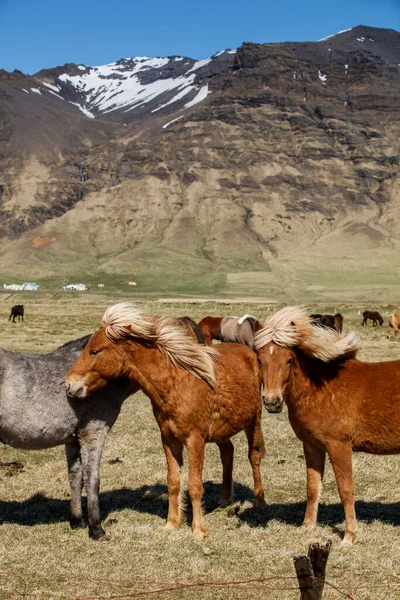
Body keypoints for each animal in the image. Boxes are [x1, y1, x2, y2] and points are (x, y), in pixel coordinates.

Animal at [0, 338, 138, 540]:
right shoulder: (93, 433)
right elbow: (92, 480)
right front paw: (96, 529)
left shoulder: (73, 440)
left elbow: (76, 478)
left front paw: (76, 521)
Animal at [65, 302, 266, 540]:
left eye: (95, 351)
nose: (69, 384)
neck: (176, 382)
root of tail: (249, 352)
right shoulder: (169, 440)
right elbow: (173, 482)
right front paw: (172, 523)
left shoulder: (195, 441)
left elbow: (194, 485)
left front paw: (198, 530)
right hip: (222, 430)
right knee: (228, 453)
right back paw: (225, 499)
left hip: (254, 422)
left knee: (254, 457)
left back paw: (260, 501)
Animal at [253, 308, 400, 548]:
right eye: (259, 359)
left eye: (289, 360)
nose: (271, 402)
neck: (321, 388)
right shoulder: (312, 446)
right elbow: (313, 488)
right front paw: (307, 527)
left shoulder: (339, 446)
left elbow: (346, 490)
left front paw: (349, 536)